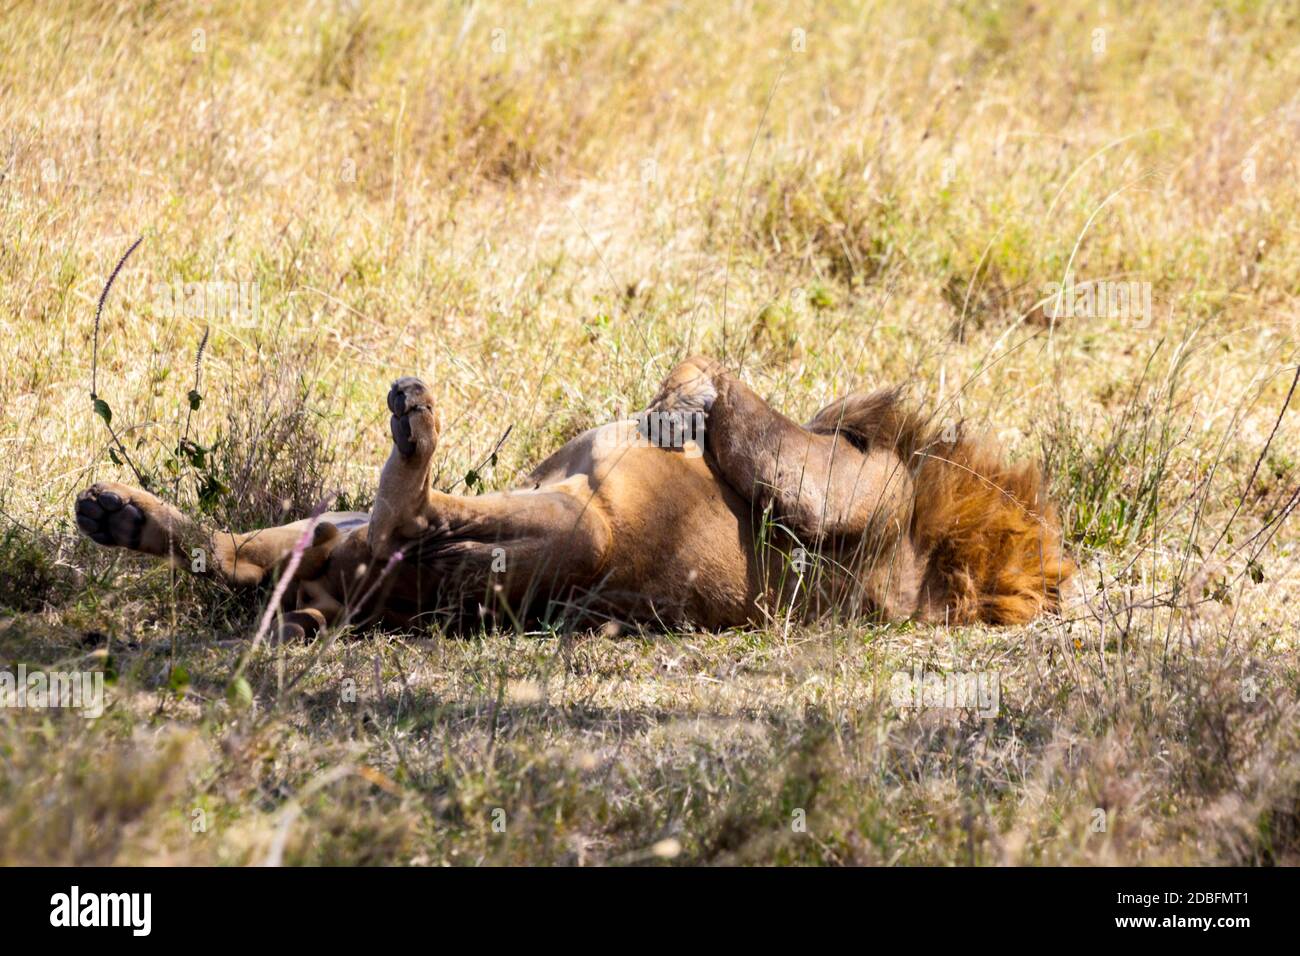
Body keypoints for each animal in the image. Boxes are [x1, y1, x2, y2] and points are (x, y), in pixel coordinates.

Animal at [76, 356, 1081, 639]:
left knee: (416, 514)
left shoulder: (857, 485)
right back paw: (117, 514)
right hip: (352, 534)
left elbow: (716, 375)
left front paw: (682, 400)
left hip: (571, 523)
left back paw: (416, 425)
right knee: (240, 556)